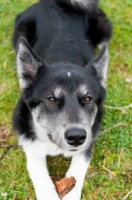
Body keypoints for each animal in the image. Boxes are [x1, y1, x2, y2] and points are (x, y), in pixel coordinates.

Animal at [12, 0, 112, 199]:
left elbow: (77, 170)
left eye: (87, 98)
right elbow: (39, 173)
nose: (76, 137)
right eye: (51, 99)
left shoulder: (88, 141)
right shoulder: (29, 143)